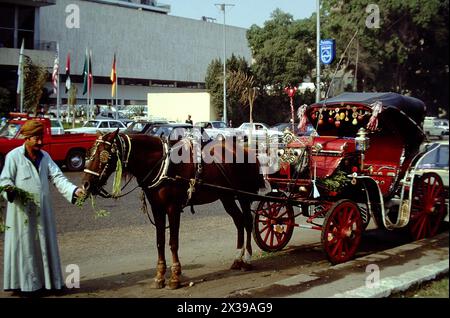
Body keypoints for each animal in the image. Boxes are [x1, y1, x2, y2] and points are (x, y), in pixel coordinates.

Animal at [81, 129, 266, 288]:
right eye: (90, 153)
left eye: (104, 155)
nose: (86, 184)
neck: (162, 165)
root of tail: (247, 151)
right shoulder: (157, 208)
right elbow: (160, 242)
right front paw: (159, 276)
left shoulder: (173, 208)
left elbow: (173, 242)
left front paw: (175, 277)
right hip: (226, 197)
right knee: (238, 221)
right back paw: (237, 259)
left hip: (243, 196)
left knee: (247, 222)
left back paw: (247, 260)